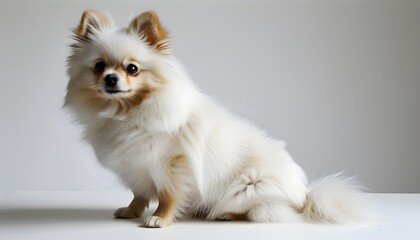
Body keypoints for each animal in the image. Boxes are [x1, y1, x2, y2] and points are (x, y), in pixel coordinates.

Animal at [65, 9, 364, 227]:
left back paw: (223, 214)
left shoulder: (170, 166)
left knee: (260, 212)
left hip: (247, 188)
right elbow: (139, 193)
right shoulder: (137, 167)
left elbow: (167, 197)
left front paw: (159, 219)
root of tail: (305, 196)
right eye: (99, 67)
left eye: (132, 69)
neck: (127, 112)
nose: (111, 79)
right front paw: (131, 210)